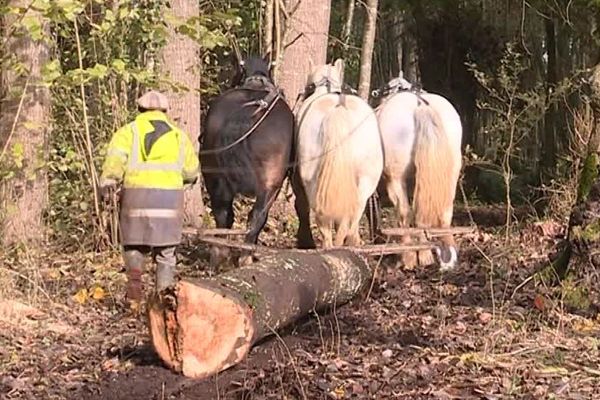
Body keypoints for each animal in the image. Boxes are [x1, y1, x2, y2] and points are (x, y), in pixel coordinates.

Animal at [202, 54, 296, 264]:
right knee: (257, 216)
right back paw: (246, 255)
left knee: (222, 213)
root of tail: (243, 113)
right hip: (271, 184)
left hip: (213, 175)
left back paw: (220, 252)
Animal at [378, 73, 462, 270]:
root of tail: (420, 104)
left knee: (405, 212)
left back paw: (411, 256)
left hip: (396, 178)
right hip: (451, 172)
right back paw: (445, 255)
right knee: (444, 210)